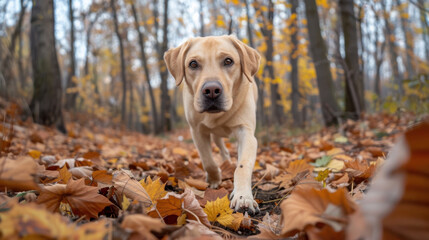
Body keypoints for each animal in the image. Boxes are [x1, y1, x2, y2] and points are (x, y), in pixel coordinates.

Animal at [164, 35, 260, 212]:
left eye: (228, 61)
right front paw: (215, 180)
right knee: (223, 150)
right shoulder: (197, 131)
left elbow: (242, 166)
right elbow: (207, 160)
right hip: (216, 136)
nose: (211, 91)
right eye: (193, 64)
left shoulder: (246, 132)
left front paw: (243, 197)